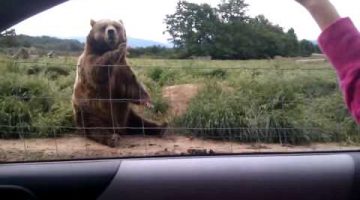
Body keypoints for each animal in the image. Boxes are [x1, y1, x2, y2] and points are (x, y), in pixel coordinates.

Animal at [72, 19, 167, 147]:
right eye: (103, 27)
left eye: (116, 26)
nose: (111, 32)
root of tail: (118, 128)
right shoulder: (89, 61)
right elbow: (96, 71)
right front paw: (120, 48)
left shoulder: (121, 69)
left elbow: (131, 86)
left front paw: (147, 101)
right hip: (89, 109)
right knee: (94, 126)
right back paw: (112, 138)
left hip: (125, 113)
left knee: (138, 122)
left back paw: (161, 128)